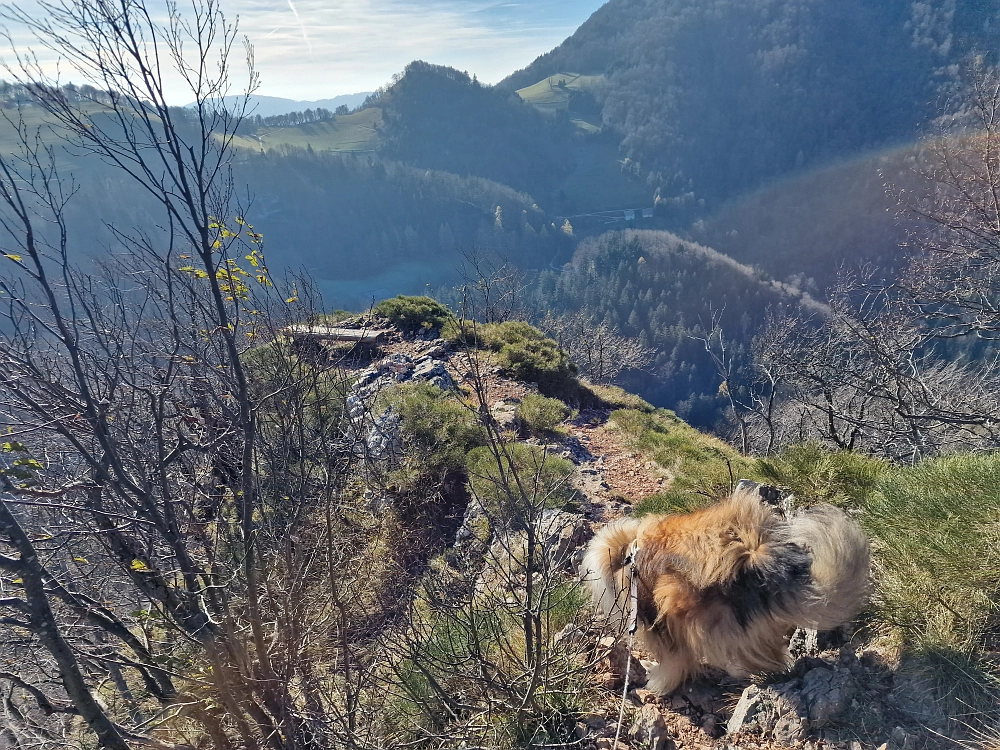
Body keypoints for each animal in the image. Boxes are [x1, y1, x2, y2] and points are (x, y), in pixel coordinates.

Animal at [584, 488, 872, 692]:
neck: (628, 552)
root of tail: (755, 557)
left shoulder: (659, 622)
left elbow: (673, 661)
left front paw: (657, 682)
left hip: (688, 606)